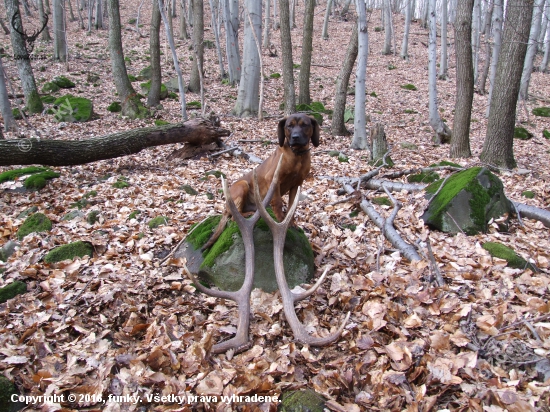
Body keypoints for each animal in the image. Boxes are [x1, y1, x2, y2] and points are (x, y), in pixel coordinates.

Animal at [204, 112, 322, 249]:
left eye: (305, 125)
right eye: (289, 126)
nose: (295, 137)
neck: (297, 155)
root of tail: (225, 207)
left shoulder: (297, 185)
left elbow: (292, 207)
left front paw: (291, 223)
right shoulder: (272, 178)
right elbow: (278, 202)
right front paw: (281, 219)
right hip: (242, 185)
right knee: (234, 217)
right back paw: (245, 215)